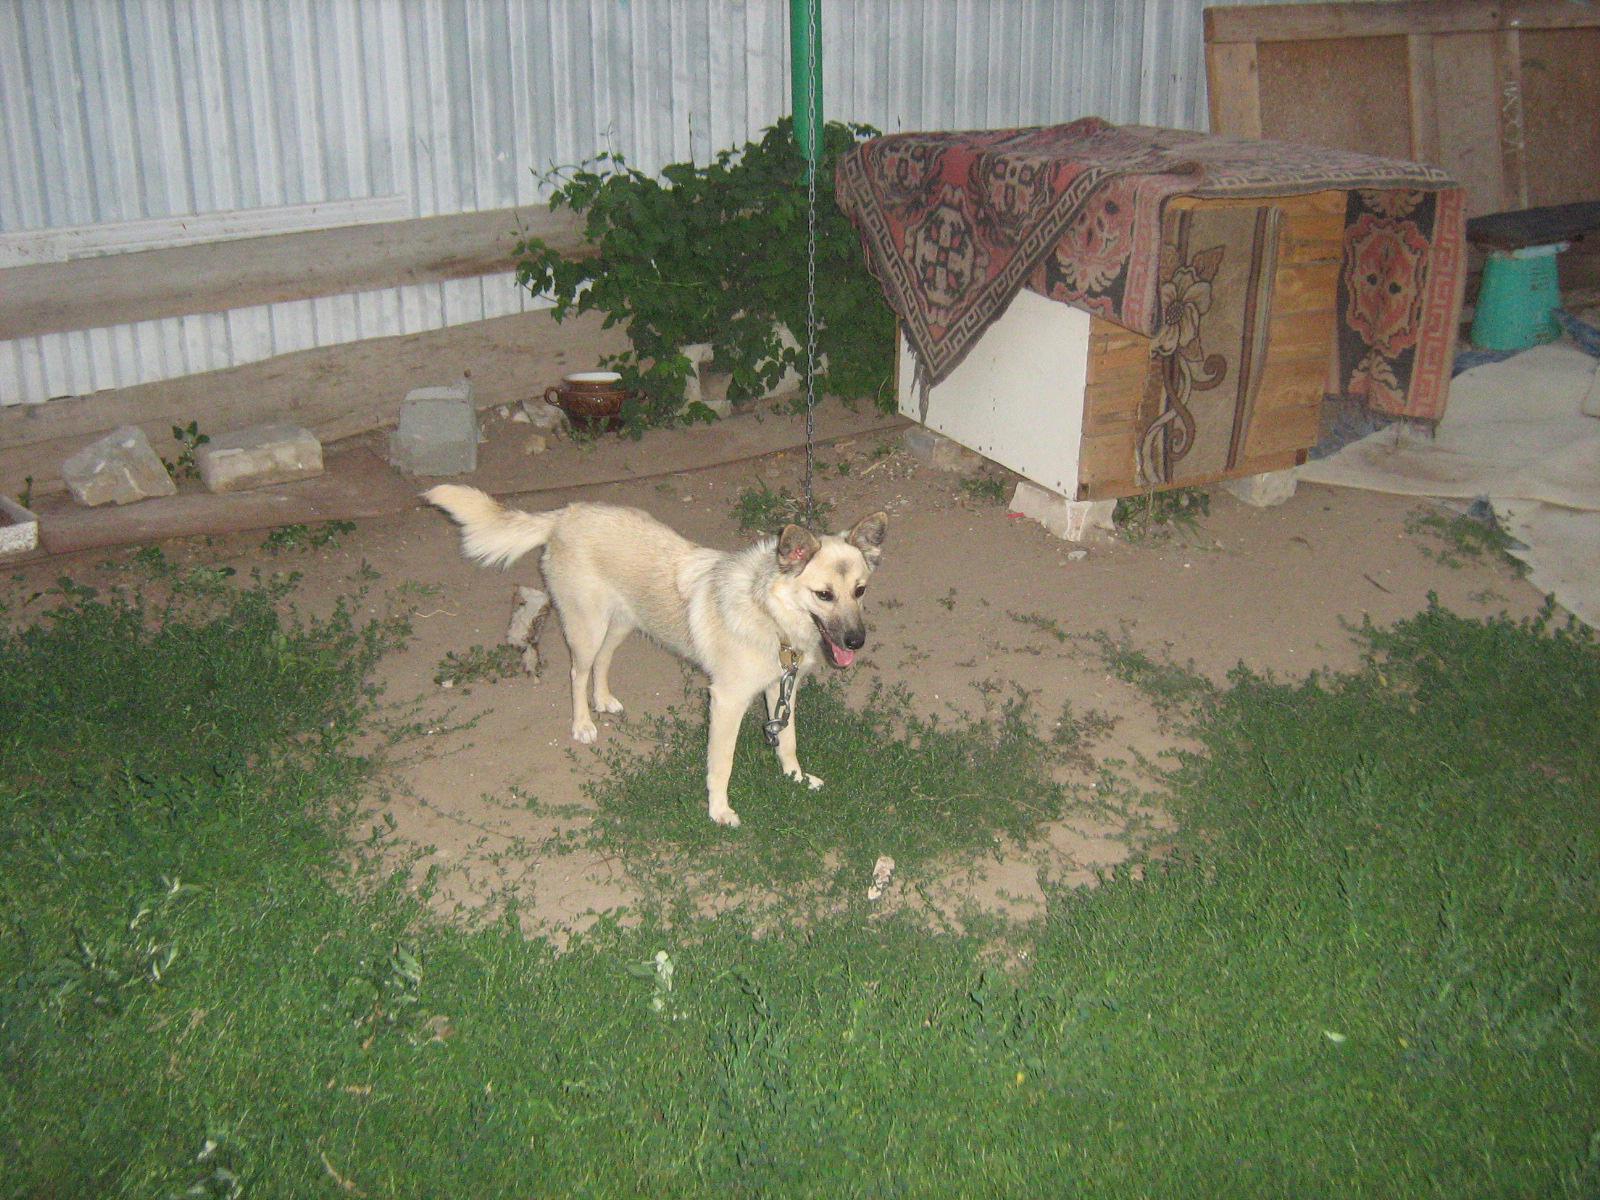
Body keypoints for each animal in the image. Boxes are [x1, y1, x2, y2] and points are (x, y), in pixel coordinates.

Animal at [422, 483, 889, 832]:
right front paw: (719, 811)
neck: (770, 613)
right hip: (587, 628)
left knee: (602, 665)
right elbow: (722, 764)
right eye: (823, 595)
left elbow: (787, 741)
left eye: (860, 590)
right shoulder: (727, 701)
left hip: (623, 623)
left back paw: (603, 700)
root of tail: (566, 514)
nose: (856, 642)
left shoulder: (780, 688)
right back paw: (583, 723)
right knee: (577, 672)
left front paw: (795, 778)